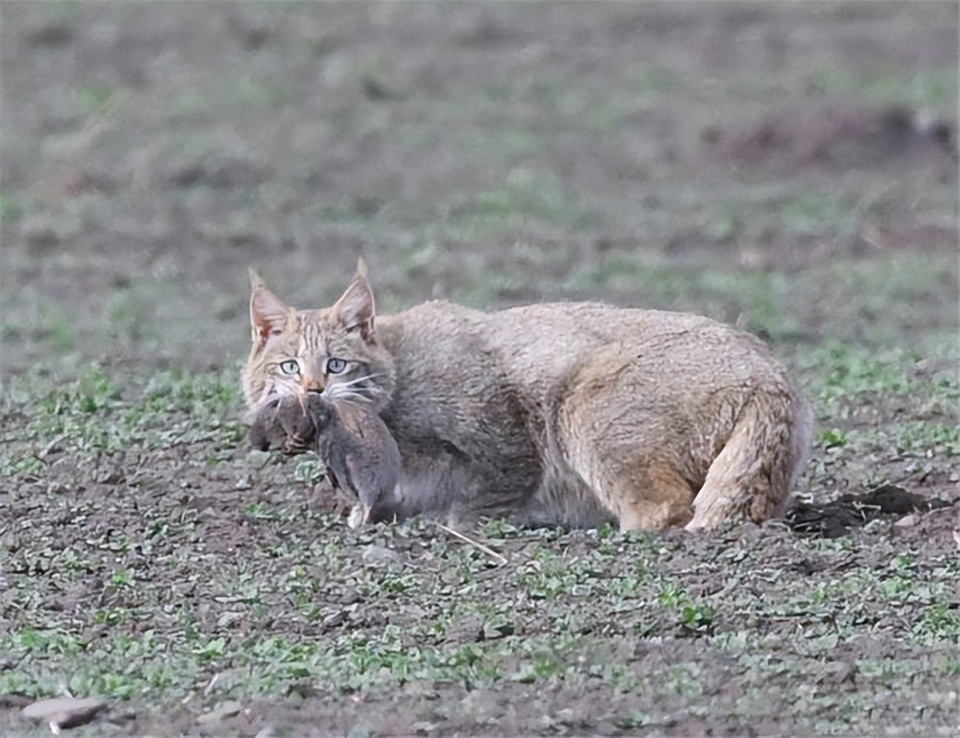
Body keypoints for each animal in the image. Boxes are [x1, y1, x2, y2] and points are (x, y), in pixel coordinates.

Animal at [242, 258, 808, 528]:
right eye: (288, 366)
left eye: (336, 364)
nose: (313, 389)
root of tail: (773, 374)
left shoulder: (502, 424)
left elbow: (496, 485)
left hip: (580, 404)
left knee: (666, 508)